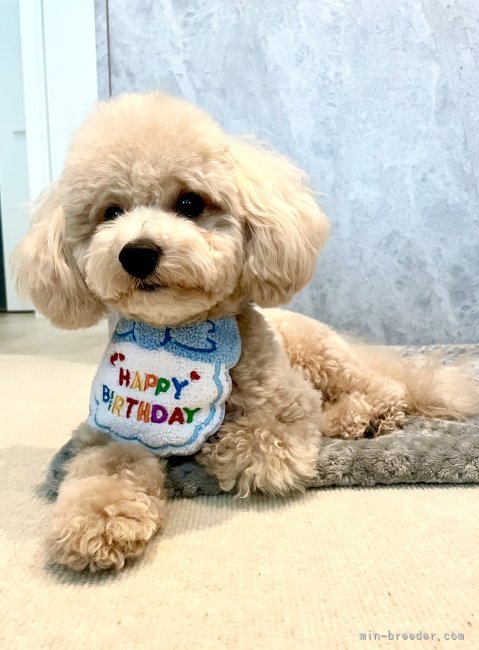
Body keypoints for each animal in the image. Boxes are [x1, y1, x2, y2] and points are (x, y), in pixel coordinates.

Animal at [12, 92, 479, 571]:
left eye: (190, 203)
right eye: (111, 213)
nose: (137, 253)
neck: (175, 338)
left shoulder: (284, 411)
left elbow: (256, 441)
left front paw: (214, 442)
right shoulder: (112, 429)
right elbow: (103, 468)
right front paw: (96, 524)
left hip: (320, 355)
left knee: (384, 389)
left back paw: (358, 418)